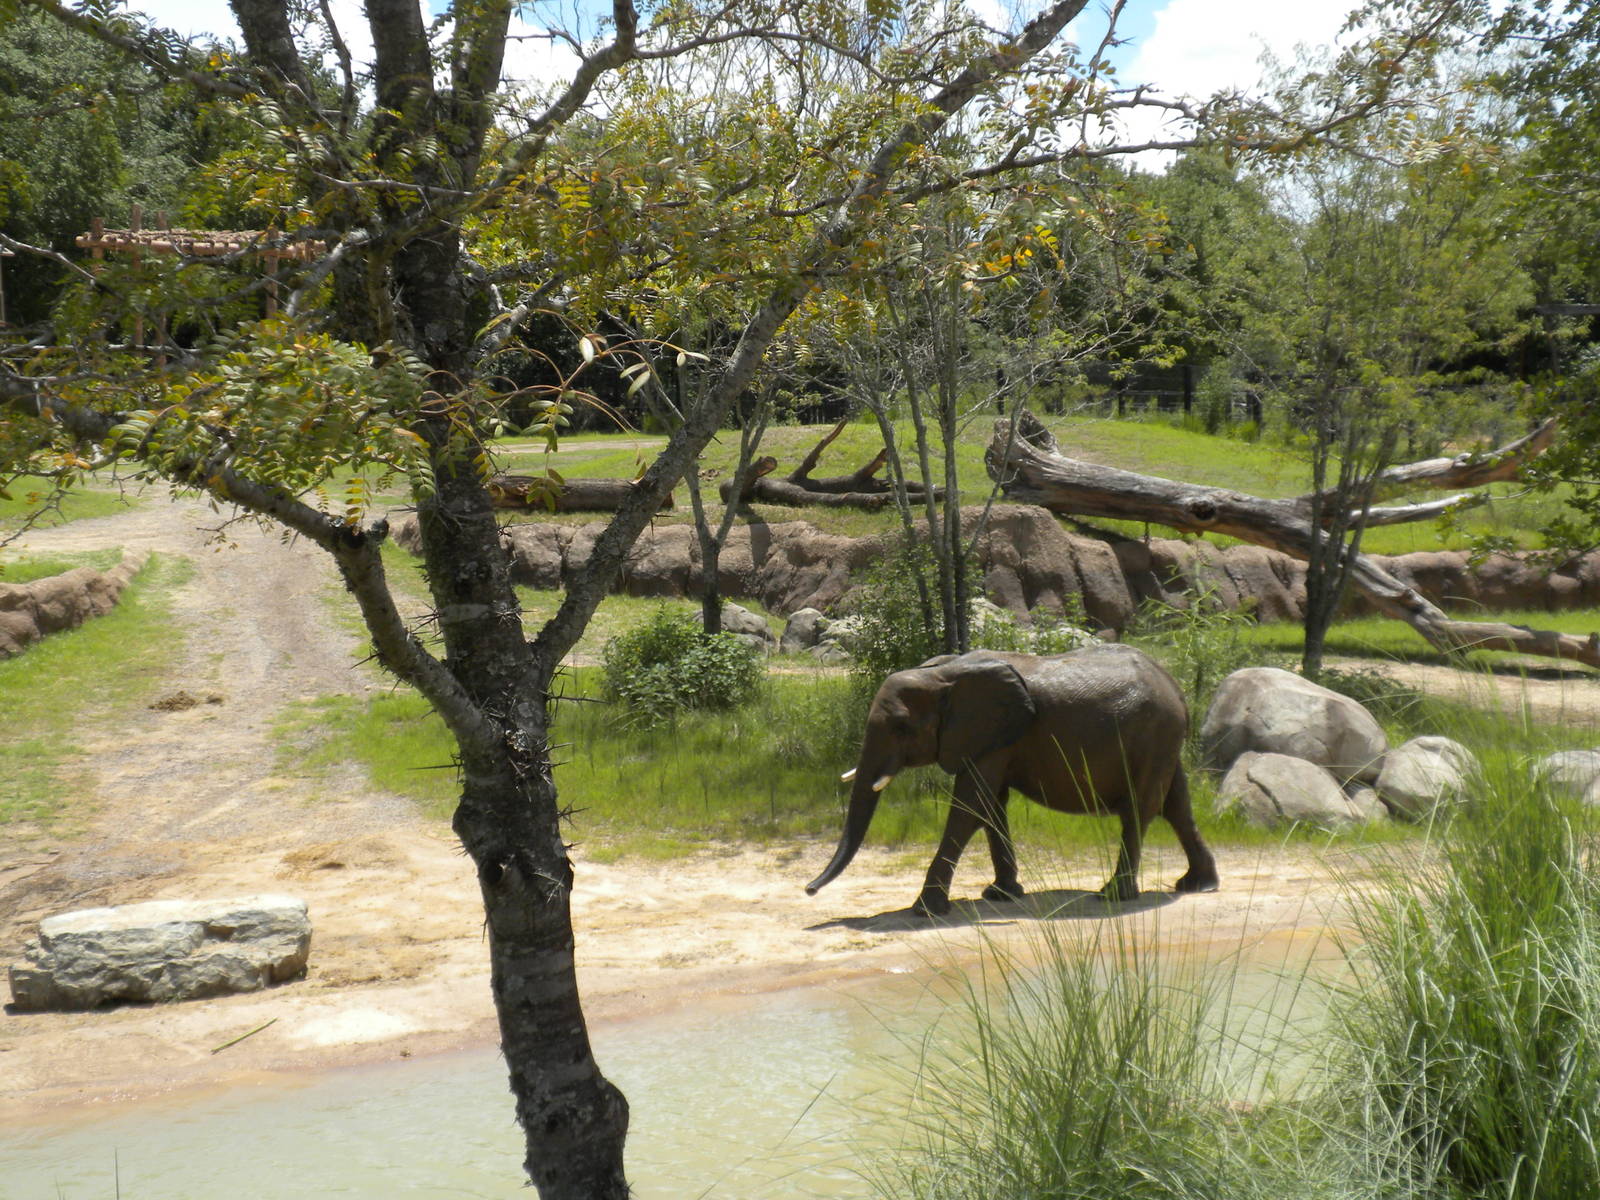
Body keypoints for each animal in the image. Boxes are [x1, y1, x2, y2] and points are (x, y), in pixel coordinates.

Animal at [805, 644, 1218, 916]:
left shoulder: (996, 735)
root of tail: (1177, 688)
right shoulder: (993, 737)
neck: (942, 674)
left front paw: (925, 910)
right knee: (1177, 807)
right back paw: (1199, 885)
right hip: (1164, 740)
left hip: (1154, 733)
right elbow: (990, 805)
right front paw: (1000, 895)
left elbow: (970, 804)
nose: (808, 890)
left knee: (1138, 809)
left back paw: (1113, 896)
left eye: (902, 727)